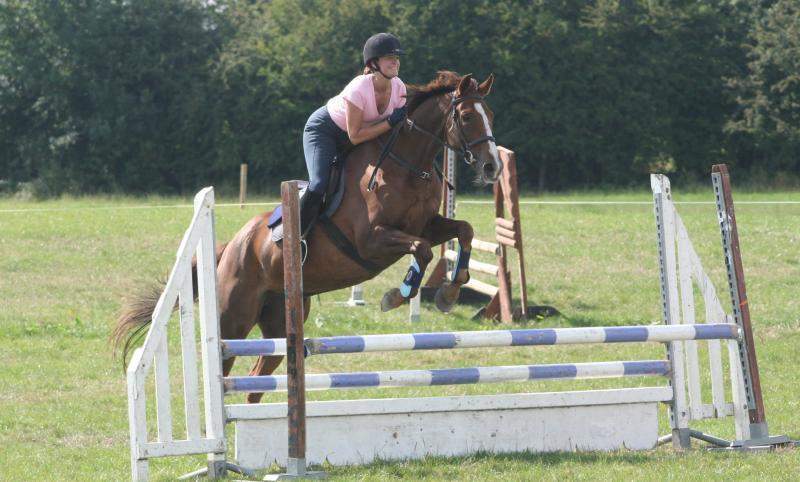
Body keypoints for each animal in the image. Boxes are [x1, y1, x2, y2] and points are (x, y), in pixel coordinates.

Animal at [112, 71, 500, 402]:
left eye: (490, 116)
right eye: (467, 116)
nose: (492, 167)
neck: (406, 166)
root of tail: (229, 247)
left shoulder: (427, 226)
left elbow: (463, 232)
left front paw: (449, 292)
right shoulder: (372, 241)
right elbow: (421, 252)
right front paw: (397, 295)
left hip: (278, 324)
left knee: (256, 382)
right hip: (234, 319)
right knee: (226, 367)